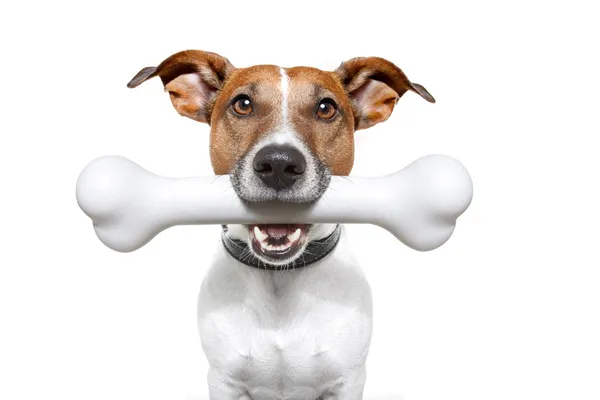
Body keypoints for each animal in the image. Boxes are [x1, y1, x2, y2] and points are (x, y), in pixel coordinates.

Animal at [129, 50, 434, 400]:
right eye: (243, 104)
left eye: (326, 108)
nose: (278, 164)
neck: (280, 281)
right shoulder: (223, 381)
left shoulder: (348, 381)